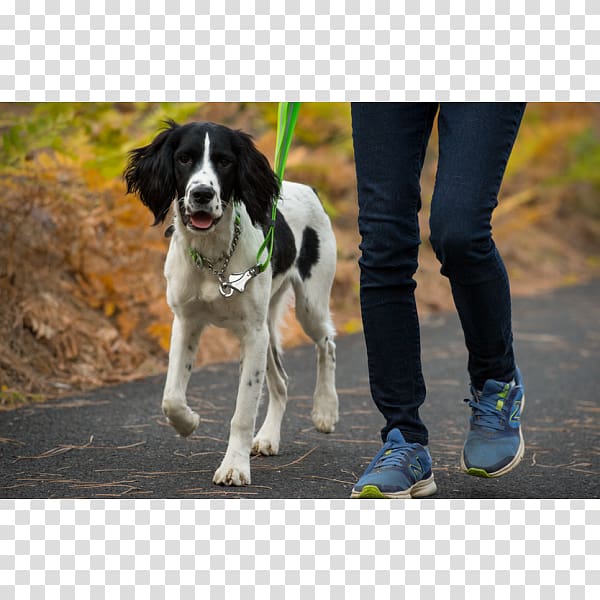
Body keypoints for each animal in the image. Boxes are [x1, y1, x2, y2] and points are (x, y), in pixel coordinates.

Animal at [123, 122, 338, 488]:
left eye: (224, 161)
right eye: (184, 158)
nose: (201, 195)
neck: (214, 257)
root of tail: (307, 187)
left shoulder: (252, 333)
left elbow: (242, 412)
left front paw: (234, 467)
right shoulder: (186, 322)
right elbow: (171, 398)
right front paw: (189, 422)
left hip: (308, 305)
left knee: (327, 343)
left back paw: (325, 409)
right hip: (267, 328)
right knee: (281, 382)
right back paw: (268, 437)